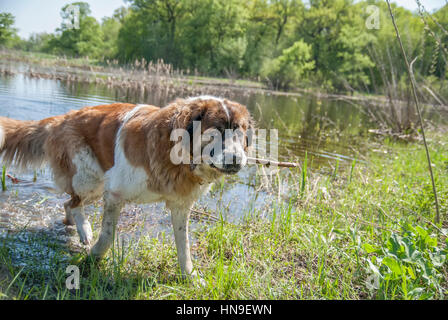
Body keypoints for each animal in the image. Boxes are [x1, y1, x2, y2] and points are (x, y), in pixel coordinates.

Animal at [0, 96, 252, 282]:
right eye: (215, 131)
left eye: (239, 132)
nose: (236, 160)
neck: (175, 149)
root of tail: (63, 118)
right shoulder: (114, 194)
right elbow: (108, 235)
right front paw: (93, 259)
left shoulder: (181, 206)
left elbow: (184, 247)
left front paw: (190, 278)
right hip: (91, 179)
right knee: (75, 202)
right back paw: (84, 230)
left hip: (96, 185)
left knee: (68, 202)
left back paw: (73, 226)